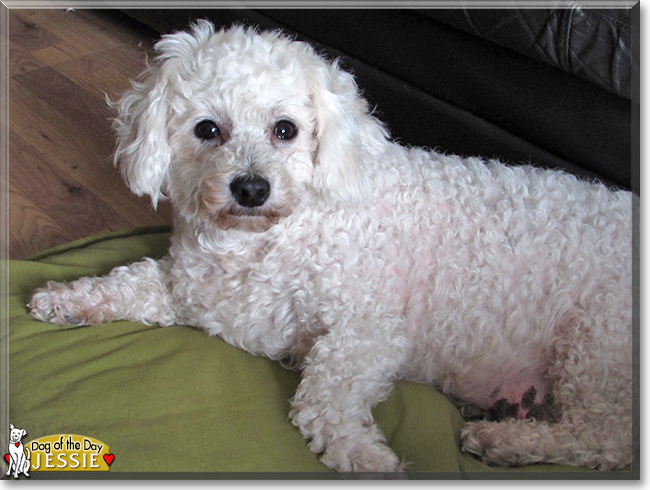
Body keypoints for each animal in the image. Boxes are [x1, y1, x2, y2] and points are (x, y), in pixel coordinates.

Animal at [27, 22, 632, 474]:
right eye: (207, 129)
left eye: (285, 129)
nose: (251, 188)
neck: (265, 240)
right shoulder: (195, 290)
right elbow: (130, 281)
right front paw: (68, 298)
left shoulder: (369, 330)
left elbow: (322, 392)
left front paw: (362, 453)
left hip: (595, 344)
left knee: (607, 438)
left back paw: (504, 442)